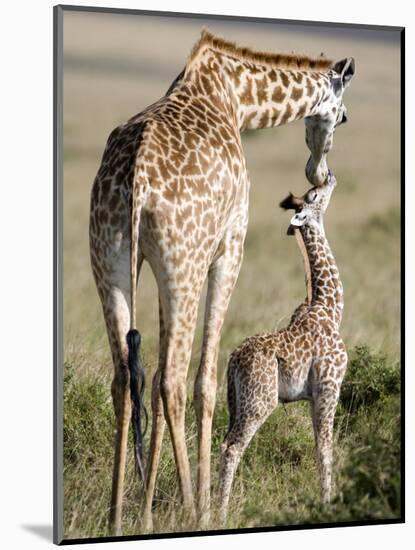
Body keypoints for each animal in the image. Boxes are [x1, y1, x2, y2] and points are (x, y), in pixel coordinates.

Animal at [219, 175, 350, 524]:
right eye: (314, 194)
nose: (330, 177)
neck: (330, 308)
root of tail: (232, 361)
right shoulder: (329, 386)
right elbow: (325, 448)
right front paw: (328, 503)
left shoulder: (314, 395)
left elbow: (318, 445)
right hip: (259, 402)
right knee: (232, 448)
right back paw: (217, 513)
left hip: (236, 401)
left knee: (223, 443)